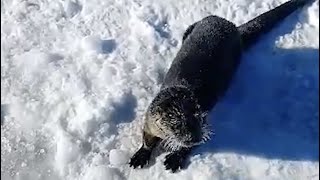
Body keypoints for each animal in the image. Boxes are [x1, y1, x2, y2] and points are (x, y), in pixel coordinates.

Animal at [128, 0, 312, 172]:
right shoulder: (149, 121)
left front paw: (176, 158)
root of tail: (233, 27)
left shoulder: (204, 122)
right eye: (176, 123)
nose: (195, 136)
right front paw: (140, 155)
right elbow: (147, 139)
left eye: (197, 116)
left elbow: (188, 147)